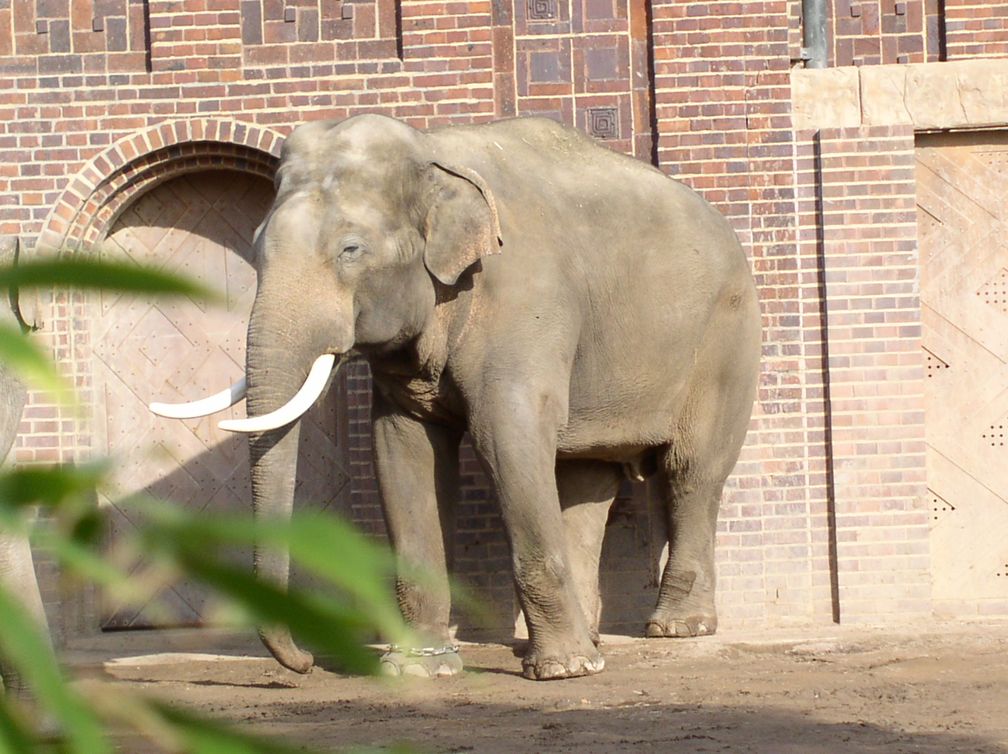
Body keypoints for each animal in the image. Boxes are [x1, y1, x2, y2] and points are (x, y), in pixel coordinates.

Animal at [149, 113, 758, 681]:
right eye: (254, 249)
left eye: (351, 250)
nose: (305, 663)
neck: (431, 153)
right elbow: (403, 449)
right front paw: (419, 668)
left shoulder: (525, 299)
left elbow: (507, 437)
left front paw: (559, 671)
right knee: (586, 479)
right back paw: (593, 640)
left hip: (726, 338)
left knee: (691, 472)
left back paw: (675, 629)